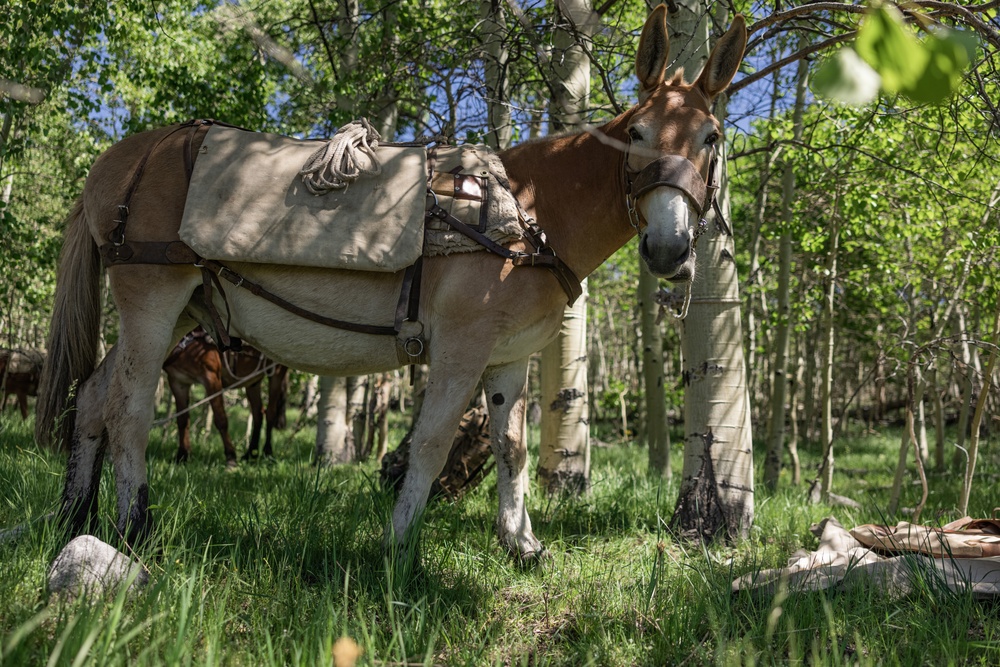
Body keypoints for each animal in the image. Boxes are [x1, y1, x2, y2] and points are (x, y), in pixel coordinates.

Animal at [163, 326, 290, 468]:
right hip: (252, 381)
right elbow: (182, 420)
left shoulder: (211, 378)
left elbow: (221, 419)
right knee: (258, 413)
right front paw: (182, 455)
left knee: (270, 413)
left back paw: (267, 453)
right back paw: (251, 453)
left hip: (277, 373)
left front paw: (231, 457)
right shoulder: (178, 382)